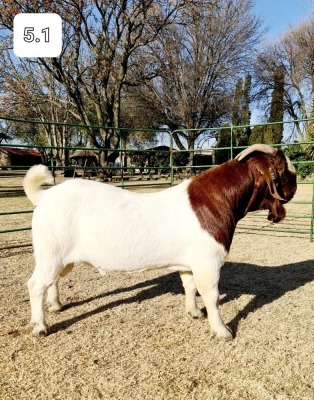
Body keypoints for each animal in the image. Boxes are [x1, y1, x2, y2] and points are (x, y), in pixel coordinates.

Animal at [23, 142, 296, 340]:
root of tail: (44, 197)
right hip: (50, 252)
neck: (215, 201)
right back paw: (40, 326)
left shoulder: (188, 264)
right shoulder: (208, 263)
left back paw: (56, 305)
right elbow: (211, 295)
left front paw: (194, 312)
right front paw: (222, 331)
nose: (294, 187)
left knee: (53, 281)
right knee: (36, 285)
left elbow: (189, 287)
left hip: (59, 257)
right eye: (283, 169)